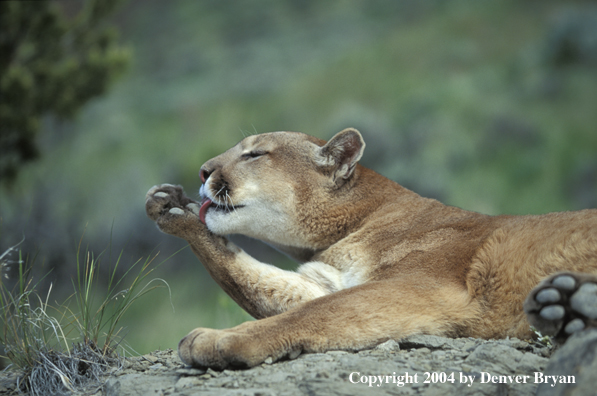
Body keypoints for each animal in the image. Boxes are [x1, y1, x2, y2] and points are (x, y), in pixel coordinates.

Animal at [144, 127, 596, 368]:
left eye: (255, 154)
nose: (203, 171)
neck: (358, 223)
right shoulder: (327, 280)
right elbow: (276, 291)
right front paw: (173, 207)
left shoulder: (421, 286)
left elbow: (313, 313)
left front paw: (216, 341)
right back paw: (567, 306)